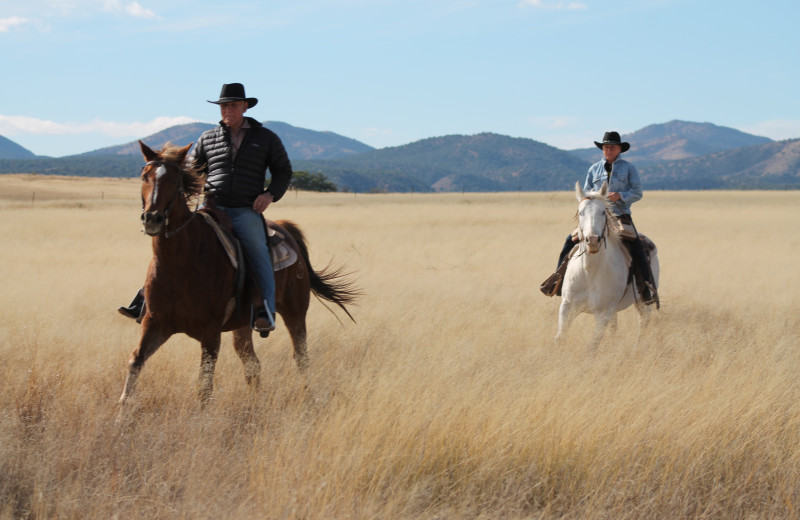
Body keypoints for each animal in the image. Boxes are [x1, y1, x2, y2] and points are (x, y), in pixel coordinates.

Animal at [118, 142, 356, 406]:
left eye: (174, 180)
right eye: (145, 177)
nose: (152, 218)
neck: (180, 263)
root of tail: (285, 228)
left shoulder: (210, 333)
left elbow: (204, 388)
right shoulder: (154, 323)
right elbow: (135, 363)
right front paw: (122, 412)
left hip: (295, 311)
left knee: (301, 356)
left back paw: (307, 398)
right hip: (242, 325)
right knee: (253, 365)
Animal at [552, 181, 660, 348]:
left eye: (603, 212)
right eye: (580, 212)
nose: (593, 240)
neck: (590, 271)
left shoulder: (603, 312)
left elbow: (593, 345)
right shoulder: (567, 306)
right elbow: (560, 337)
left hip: (642, 302)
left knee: (643, 321)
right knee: (615, 327)